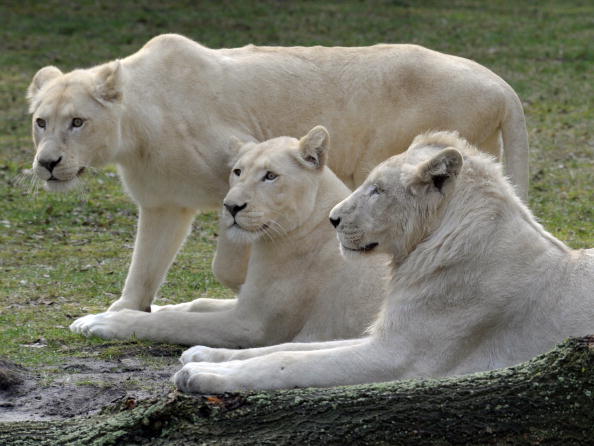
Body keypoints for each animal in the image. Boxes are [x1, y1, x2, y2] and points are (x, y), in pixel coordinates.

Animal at [27, 33, 528, 316]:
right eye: (41, 121)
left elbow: (229, 252)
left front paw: (243, 285)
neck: (135, 129)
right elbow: (145, 263)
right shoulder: (163, 203)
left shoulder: (238, 178)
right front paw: (126, 308)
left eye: (77, 122)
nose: (48, 163)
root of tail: (501, 83)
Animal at [69, 127, 386, 346]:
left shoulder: (252, 324)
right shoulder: (246, 302)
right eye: (237, 172)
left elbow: (176, 322)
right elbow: (197, 304)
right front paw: (148, 308)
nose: (231, 206)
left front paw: (105, 322)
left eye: (270, 176)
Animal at [173, 131, 588, 392]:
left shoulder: (400, 356)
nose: (333, 219)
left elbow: (290, 361)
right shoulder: (383, 336)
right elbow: (281, 349)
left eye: (377, 190)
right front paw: (204, 355)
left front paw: (202, 374)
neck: (416, 256)